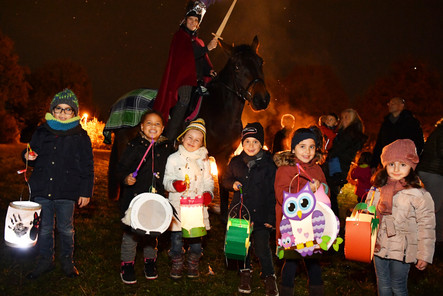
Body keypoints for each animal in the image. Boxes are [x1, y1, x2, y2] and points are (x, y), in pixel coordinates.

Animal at [106, 35, 270, 219]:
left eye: (260, 61)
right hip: (125, 145)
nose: (261, 99)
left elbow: (223, 188)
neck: (220, 110)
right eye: (237, 66)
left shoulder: (224, 157)